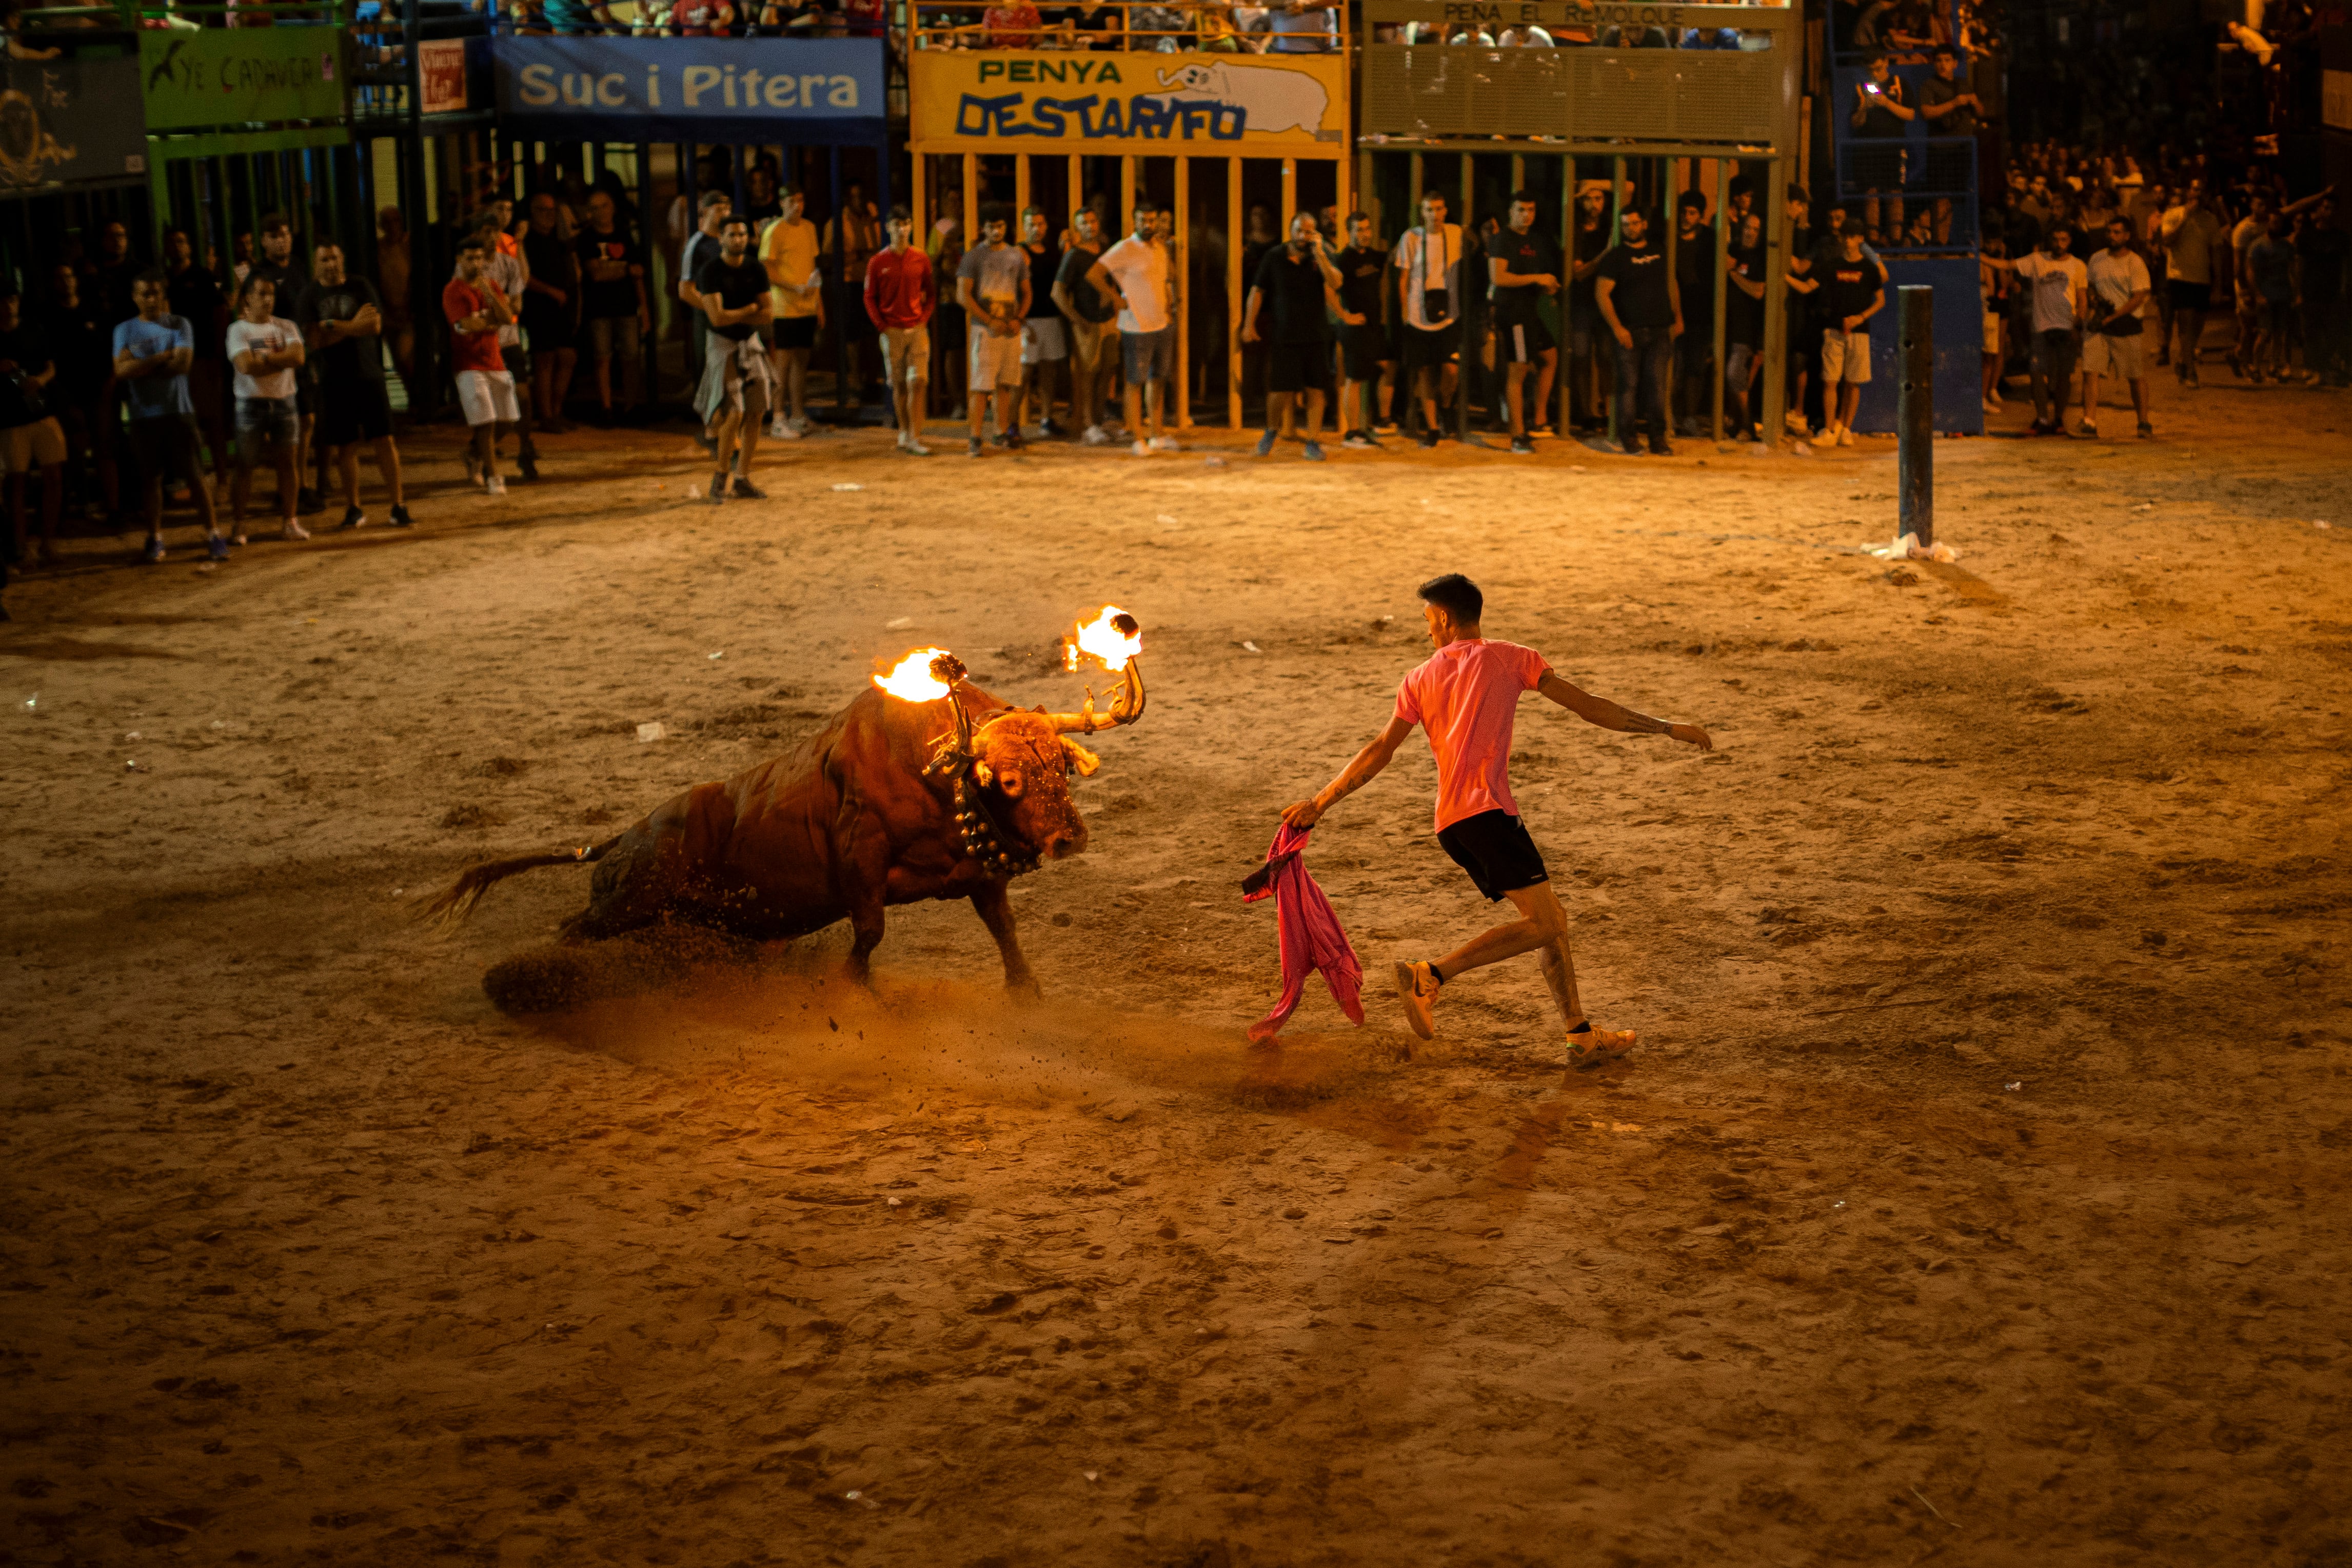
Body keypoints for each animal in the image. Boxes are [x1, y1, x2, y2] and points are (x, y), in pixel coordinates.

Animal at [435, 639, 1157, 1006]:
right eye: (1007, 780)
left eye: (1060, 767)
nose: (1070, 838)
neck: (933, 773)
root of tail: (617, 839)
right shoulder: (860, 857)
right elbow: (868, 934)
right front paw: (854, 994)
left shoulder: (979, 874)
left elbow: (1004, 931)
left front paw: (1026, 992)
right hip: (629, 899)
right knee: (572, 931)